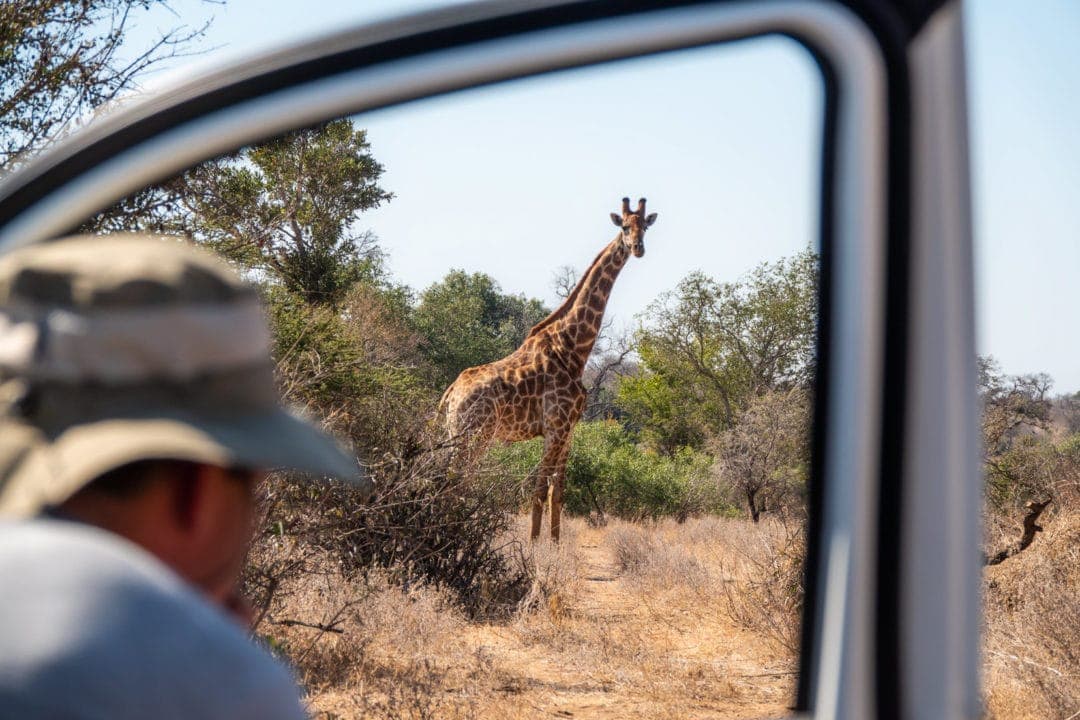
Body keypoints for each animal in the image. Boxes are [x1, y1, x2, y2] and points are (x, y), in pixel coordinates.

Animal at [438, 197, 656, 539]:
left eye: (645, 226)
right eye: (623, 226)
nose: (637, 248)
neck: (574, 349)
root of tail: (450, 393)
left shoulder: (569, 429)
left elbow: (558, 492)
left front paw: (554, 543)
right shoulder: (554, 427)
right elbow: (539, 490)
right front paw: (533, 544)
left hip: (457, 433)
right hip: (473, 435)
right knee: (455, 481)